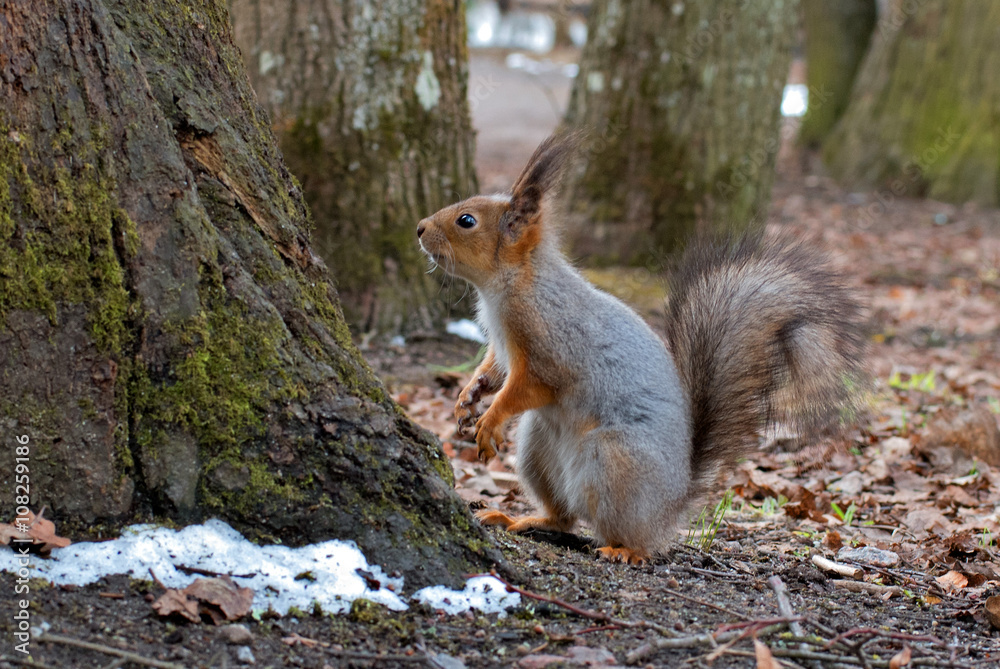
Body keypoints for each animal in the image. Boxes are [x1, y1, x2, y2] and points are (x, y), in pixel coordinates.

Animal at [416, 134, 867, 565]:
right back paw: (520, 518)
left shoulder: (553, 346)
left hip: (614, 462)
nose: (419, 227)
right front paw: (468, 397)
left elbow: (529, 387)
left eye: (467, 221)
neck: (510, 284)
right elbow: (493, 370)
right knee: (563, 517)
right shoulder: (501, 346)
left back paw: (625, 550)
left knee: (632, 536)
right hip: (537, 451)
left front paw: (491, 419)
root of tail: (672, 505)